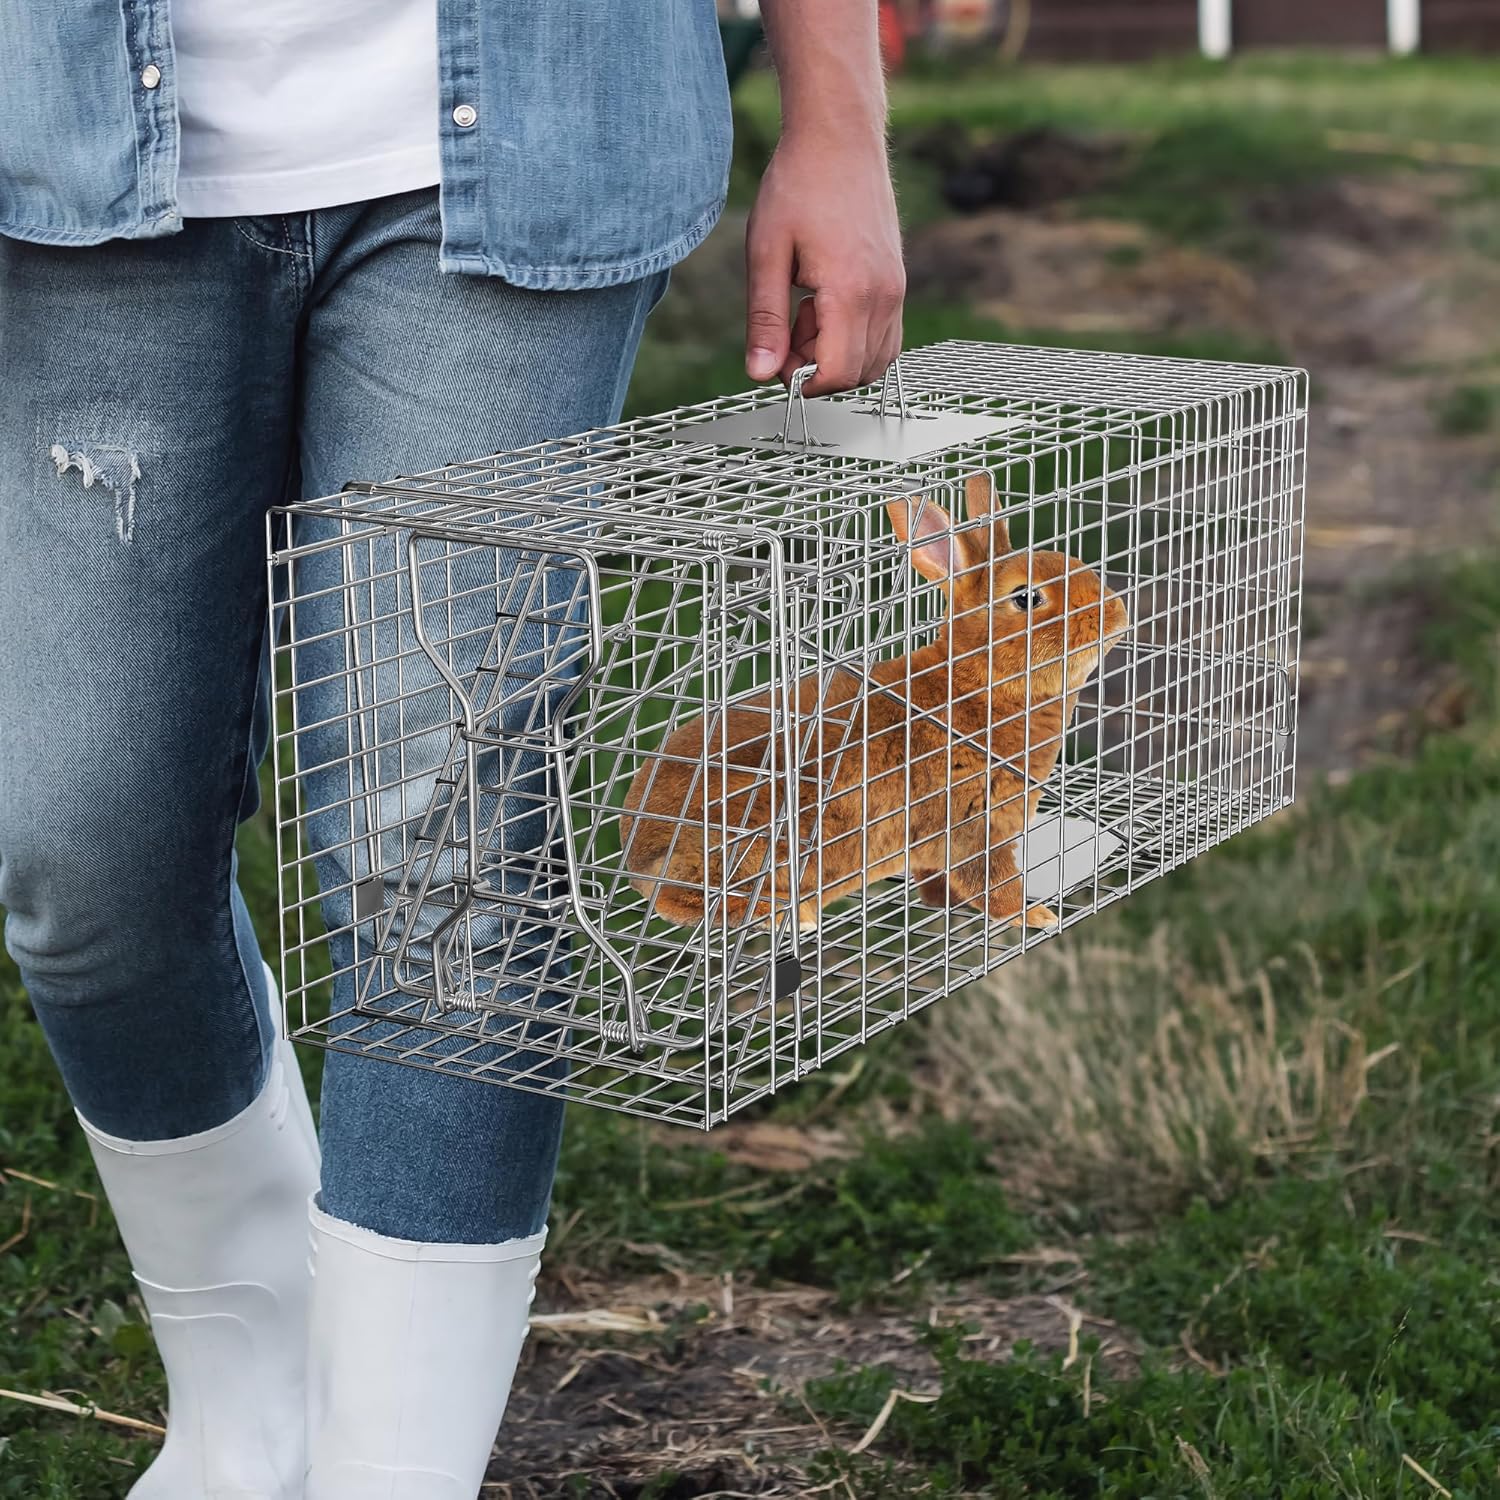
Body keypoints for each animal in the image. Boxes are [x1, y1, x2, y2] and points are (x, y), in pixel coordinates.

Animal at [618, 471, 1130, 934]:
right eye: (1027, 598)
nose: (1116, 612)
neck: (981, 683)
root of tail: (634, 851)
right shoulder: (970, 826)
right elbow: (992, 883)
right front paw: (1035, 916)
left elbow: (938, 881)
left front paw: (943, 905)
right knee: (685, 900)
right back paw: (788, 915)